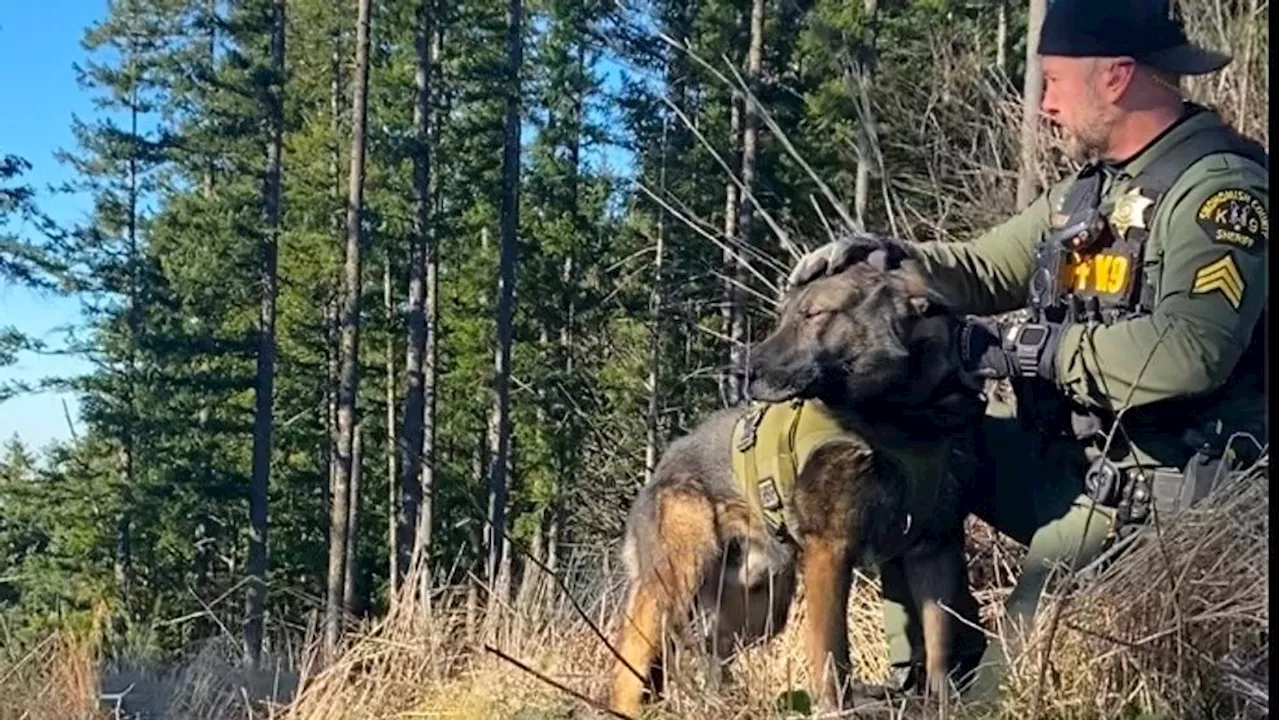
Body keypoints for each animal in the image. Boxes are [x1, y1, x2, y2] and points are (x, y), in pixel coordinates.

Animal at [606, 251, 977, 712]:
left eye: (814, 314)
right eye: (784, 317)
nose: (739, 371)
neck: (901, 419)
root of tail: (662, 468)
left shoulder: (934, 548)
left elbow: (941, 644)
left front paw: (945, 703)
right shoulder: (829, 548)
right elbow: (831, 651)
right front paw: (835, 708)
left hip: (760, 607)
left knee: (711, 651)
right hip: (674, 580)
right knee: (633, 656)